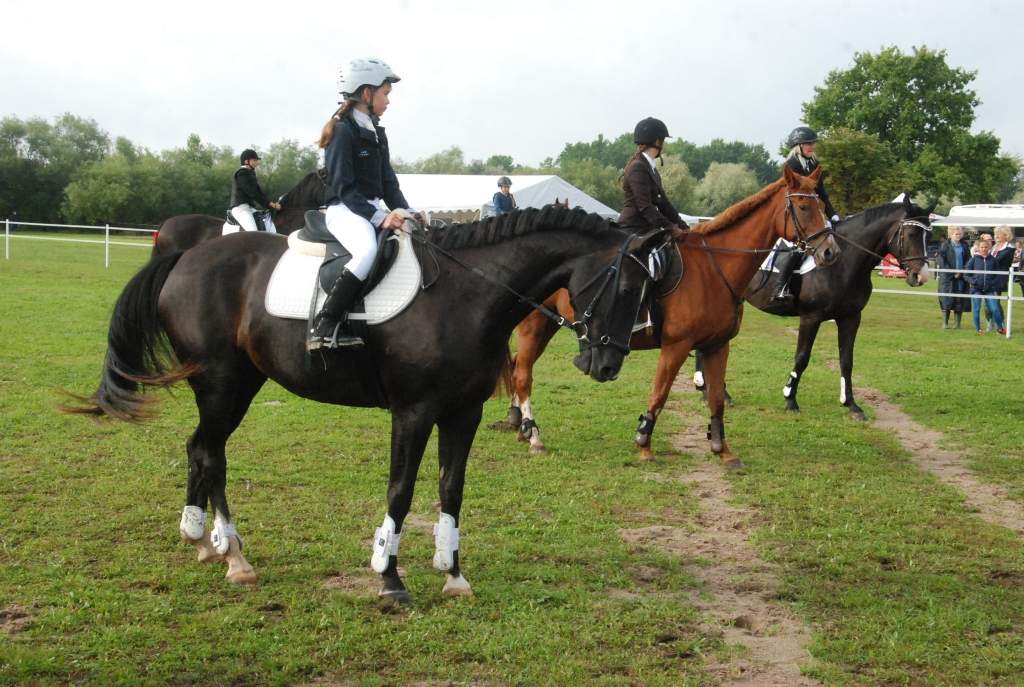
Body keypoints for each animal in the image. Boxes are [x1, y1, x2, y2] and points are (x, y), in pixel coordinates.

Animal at [68, 206, 667, 606]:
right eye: (626, 287)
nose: (606, 365)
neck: (467, 296)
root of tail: (185, 257)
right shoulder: (414, 411)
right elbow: (400, 491)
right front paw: (389, 576)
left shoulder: (463, 413)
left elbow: (452, 489)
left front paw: (453, 573)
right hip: (223, 384)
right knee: (211, 454)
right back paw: (235, 556)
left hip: (234, 385)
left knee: (199, 448)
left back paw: (202, 541)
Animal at [499, 164, 835, 466]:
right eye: (803, 207)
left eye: (822, 205)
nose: (830, 251)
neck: (714, 269)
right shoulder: (677, 346)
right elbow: (660, 393)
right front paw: (644, 443)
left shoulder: (717, 345)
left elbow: (716, 398)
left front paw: (722, 449)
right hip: (534, 326)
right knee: (523, 374)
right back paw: (534, 437)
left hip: (547, 326)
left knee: (518, 370)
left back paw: (520, 426)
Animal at [700, 194, 933, 419]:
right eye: (912, 234)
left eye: (928, 237)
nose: (920, 276)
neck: (844, 263)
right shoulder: (811, 317)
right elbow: (802, 357)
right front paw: (790, 400)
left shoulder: (851, 317)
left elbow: (846, 360)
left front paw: (852, 405)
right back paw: (720, 393)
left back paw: (705, 389)